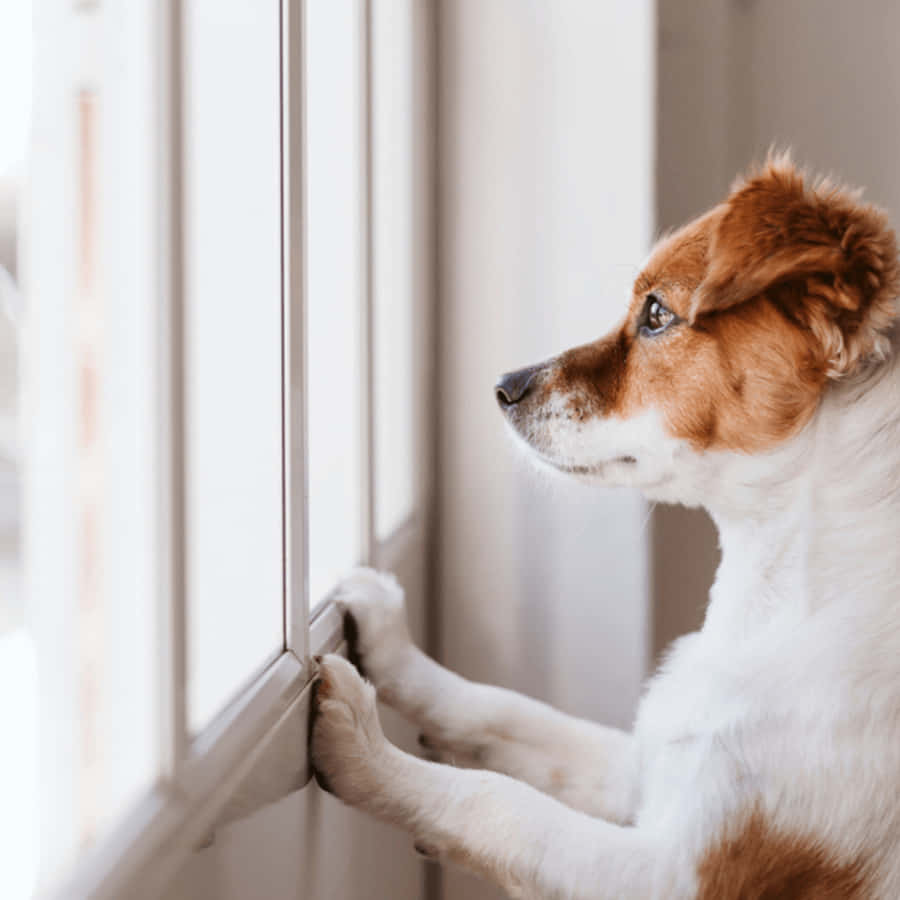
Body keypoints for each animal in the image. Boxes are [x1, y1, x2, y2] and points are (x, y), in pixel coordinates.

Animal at [308, 160, 900, 900]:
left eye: (657, 315)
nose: (503, 386)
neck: (779, 599)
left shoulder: (678, 875)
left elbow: (498, 803)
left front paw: (363, 750)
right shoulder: (645, 766)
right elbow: (505, 711)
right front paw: (391, 643)